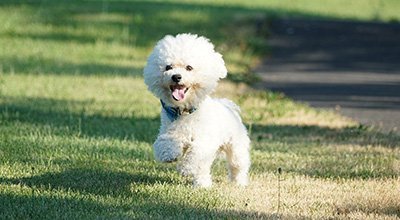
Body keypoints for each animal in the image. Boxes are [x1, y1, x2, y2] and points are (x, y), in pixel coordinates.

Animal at [143, 33, 250, 187]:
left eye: (189, 67)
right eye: (168, 67)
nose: (176, 76)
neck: (185, 112)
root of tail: (227, 106)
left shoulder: (205, 140)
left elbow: (196, 154)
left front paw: (186, 168)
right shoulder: (168, 130)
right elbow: (165, 142)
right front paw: (169, 154)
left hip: (236, 146)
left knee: (237, 165)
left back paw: (238, 183)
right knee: (204, 169)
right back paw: (202, 185)